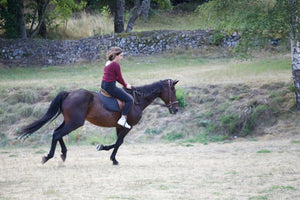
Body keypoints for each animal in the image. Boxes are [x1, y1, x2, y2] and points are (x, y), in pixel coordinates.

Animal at [19, 79, 178, 165]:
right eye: (173, 91)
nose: (176, 109)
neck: (136, 100)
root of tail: (69, 93)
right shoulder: (128, 126)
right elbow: (119, 142)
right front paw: (113, 159)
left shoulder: (119, 126)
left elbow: (117, 142)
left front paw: (102, 147)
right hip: (75, 123)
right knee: (58, 134)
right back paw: (49, 156)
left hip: (69, 121)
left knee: (56, 132)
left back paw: (63, 154)